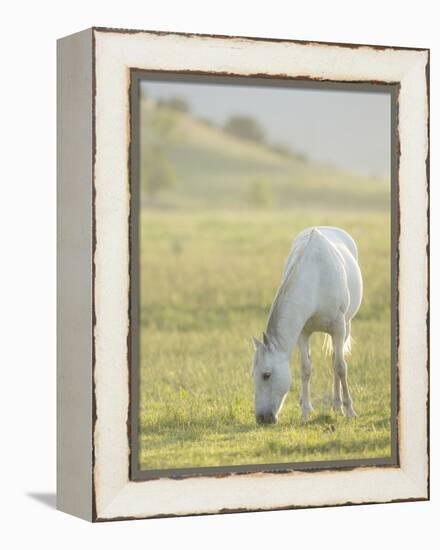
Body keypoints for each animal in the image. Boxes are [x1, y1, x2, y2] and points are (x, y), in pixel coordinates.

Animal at [253, 226, 362, 424]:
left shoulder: (339, 328)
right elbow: (305, 368)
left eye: (266, 375)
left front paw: (349, 409)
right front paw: (304, 413)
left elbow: (341, 367)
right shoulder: (302, 333)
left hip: (346, 326)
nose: (262, 418)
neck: (315, 278)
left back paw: (337, 405)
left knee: (336, 360)